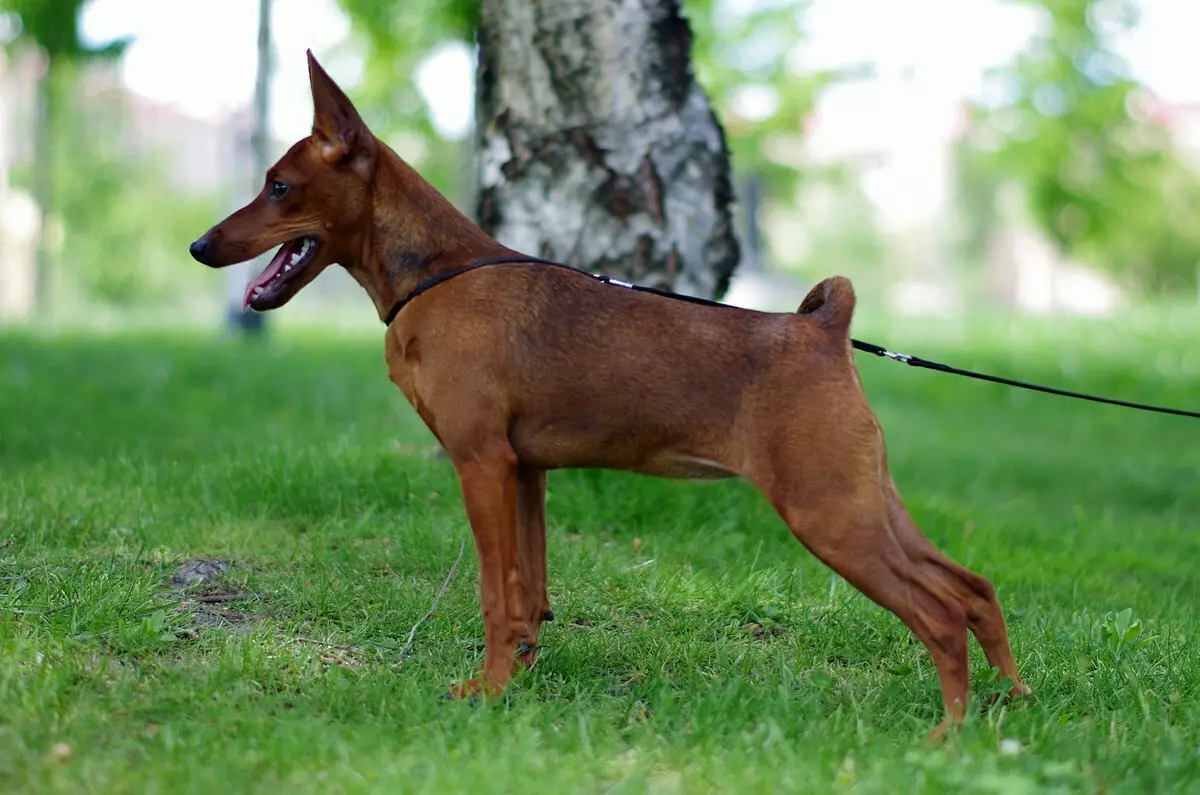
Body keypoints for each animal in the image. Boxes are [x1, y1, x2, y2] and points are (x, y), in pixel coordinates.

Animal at [192, 49, 1027, 739]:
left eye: (279, 186)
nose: (201, 246)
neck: (436, 273)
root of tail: (823, 329)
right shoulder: (524, 472)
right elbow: (527, 592)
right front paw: (520, 679)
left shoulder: (481, 463)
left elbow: (495, 592)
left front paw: (487, 692)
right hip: (866, 500)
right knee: (974, 587)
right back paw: (1013, 701)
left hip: (829, 513)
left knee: (939, 613)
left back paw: (949, 734)